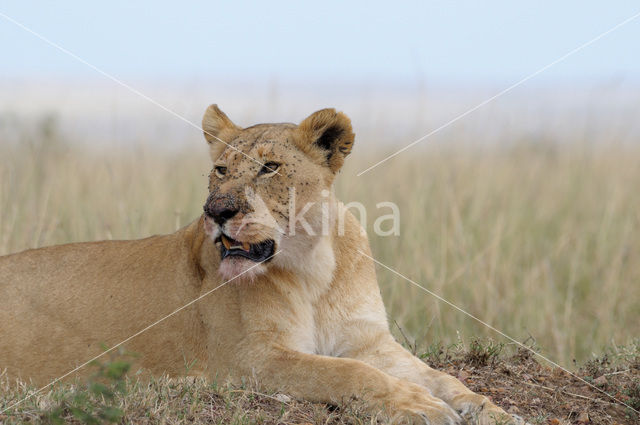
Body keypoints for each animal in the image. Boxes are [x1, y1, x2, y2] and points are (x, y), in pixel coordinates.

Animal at [0, 105, 524, 424]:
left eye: (270, 168)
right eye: (220, 170)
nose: (217, 210)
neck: (313, 265)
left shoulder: (368, 341)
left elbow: (441, 376)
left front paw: (489, 409)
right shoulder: (250, 359)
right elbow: (348, 374)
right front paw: (419, 407)